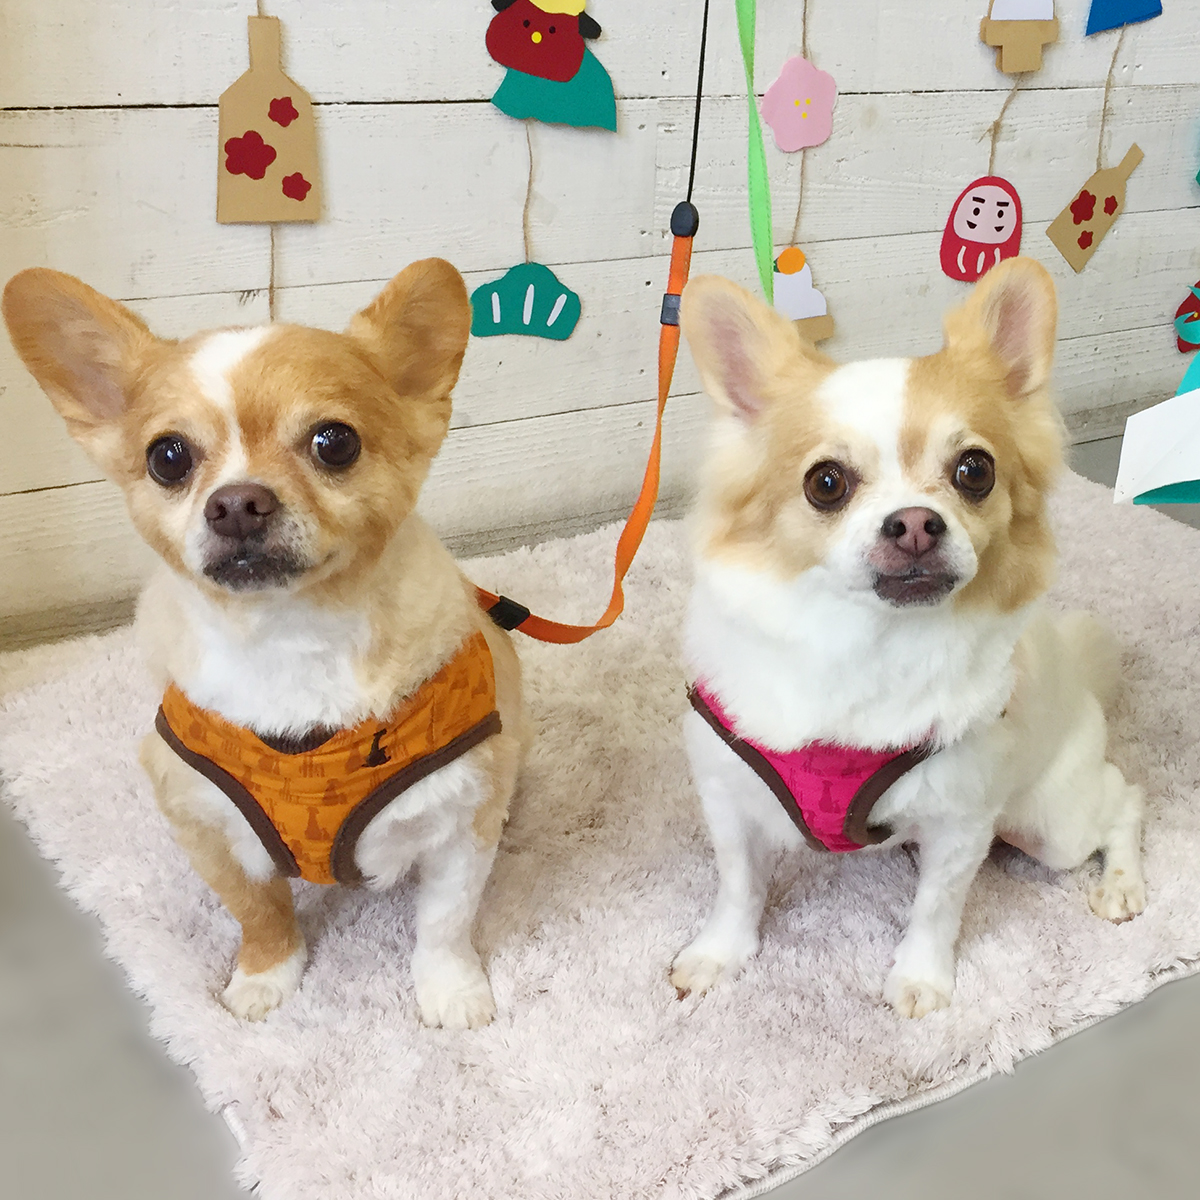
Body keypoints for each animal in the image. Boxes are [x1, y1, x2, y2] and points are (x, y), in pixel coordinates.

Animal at [3, 260, 525, 1028]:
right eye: (167, 457)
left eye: (335, 442)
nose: (237, 503)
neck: (292, 637)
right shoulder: (203, 822)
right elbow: (257, 909)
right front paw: (265, 975)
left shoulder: (463, 823)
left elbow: (445, 923)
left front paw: (451, 991)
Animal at [669, 257, 1145, 1018]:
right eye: (826, 483)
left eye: (974, 471)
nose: (917, 522)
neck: (867, 642)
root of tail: (1080, 677)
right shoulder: (729, 794)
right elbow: (738, 885)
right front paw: (722, 953)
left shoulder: (963, 820)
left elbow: (936, 909)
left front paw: (921, 978)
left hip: (1048, 823)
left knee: (1123, 802)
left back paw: (1121, 884)